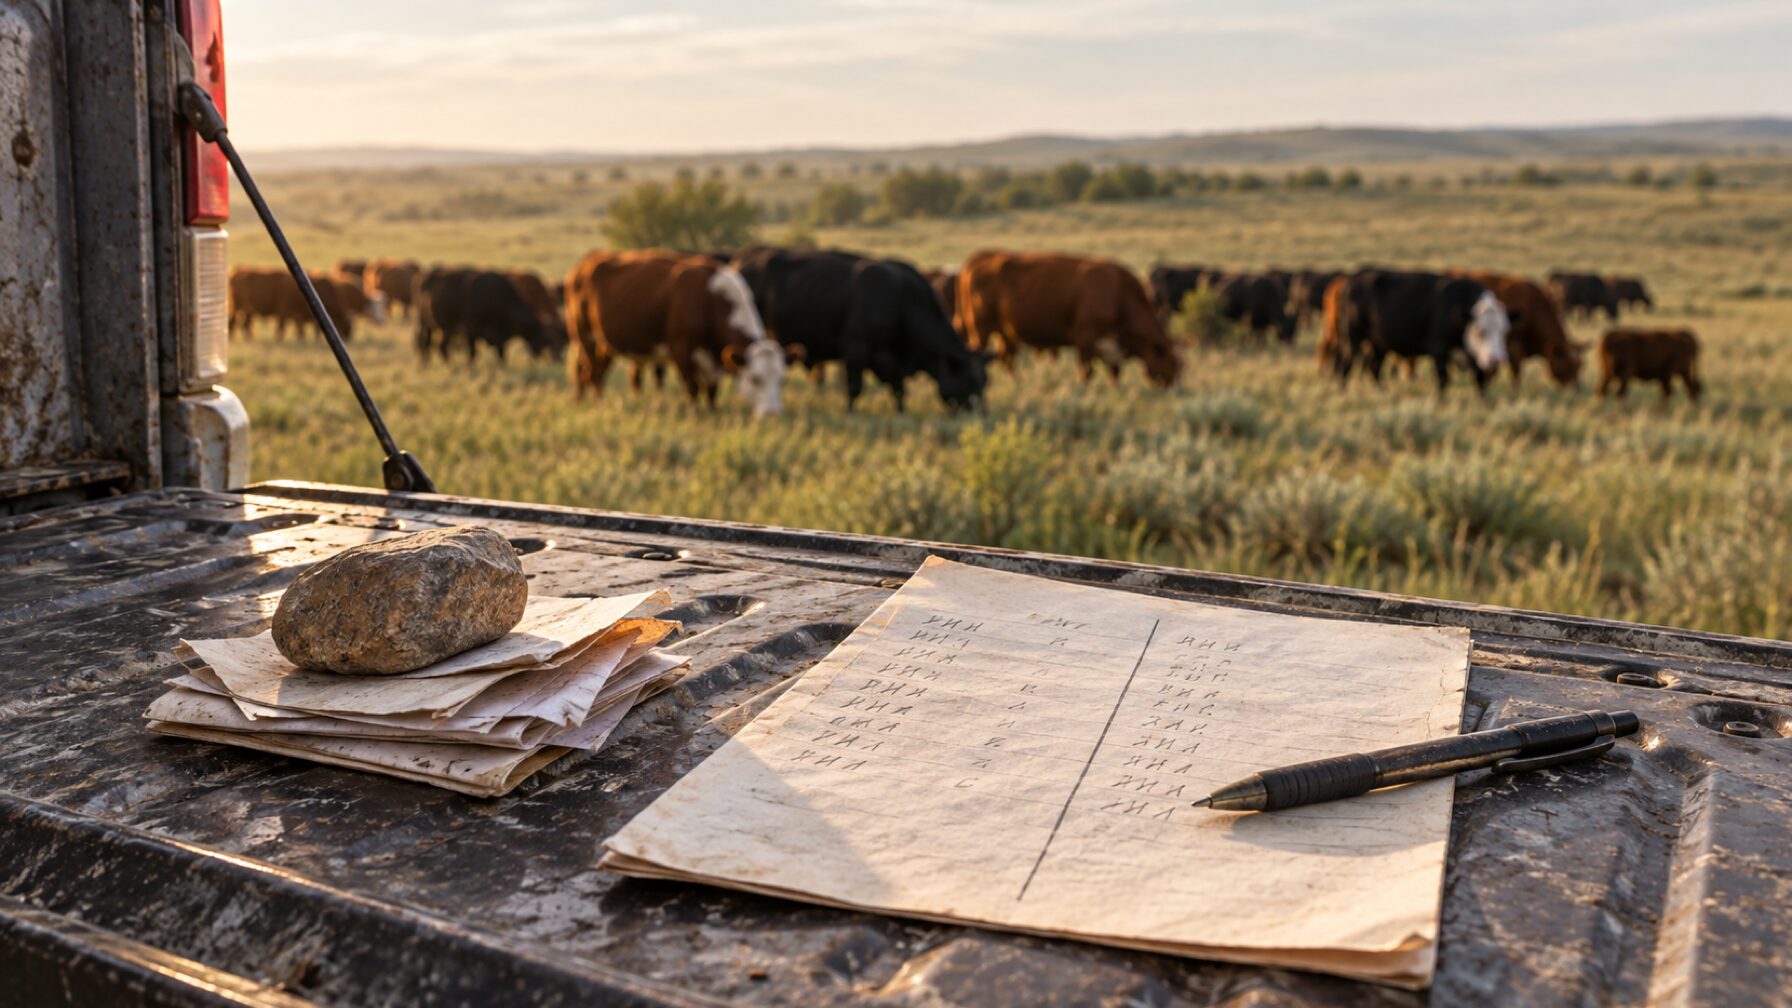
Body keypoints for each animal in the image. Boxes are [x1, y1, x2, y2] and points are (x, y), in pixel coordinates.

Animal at [413, 268, 555, 366]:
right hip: (426, 326)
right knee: (427, 344)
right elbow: (473, 353)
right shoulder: (471, 332)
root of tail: (423, 278)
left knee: (438, 346)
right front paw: (471, 368)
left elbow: (501, 354)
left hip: (443, 329)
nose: (540, 353)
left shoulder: (498, 337)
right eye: (539, 332)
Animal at [563, 250, 787, 417]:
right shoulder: (681, 350)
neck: (709, 301)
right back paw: (599, 405)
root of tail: (585, 264)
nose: (772, 413)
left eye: (780, 379)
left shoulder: (712, 360)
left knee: (594, 372)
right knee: (591, 373)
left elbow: (711, 390)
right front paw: (694, 414)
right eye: (756, 379)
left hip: (605, 344)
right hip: (585, 337)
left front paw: (713, 412)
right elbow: (692, 388)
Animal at [736, 247, 987, 412]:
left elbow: (899, 389)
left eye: (985, 382)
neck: (900, 299)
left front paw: (900, 412)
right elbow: (854, 388)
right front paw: (850, 412)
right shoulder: (856, 350)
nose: (981, 415)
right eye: (970, 382)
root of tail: (741, 263)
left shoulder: (892, 362)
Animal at [960, 251, 1180, 387]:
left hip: (1007, 334)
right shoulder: (1085, 340)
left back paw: (1017, 383)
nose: (1175, 388)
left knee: (1007, 359)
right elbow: (1087, 372)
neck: (1119, 293)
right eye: (1170, 361)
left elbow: (1114, 371)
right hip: (981, 330)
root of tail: (976, 263)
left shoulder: (1110, 348)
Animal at [1334, 270, 1510, 393]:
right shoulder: (1439, 350)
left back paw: (1380, 391)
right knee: (1346, 364)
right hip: (1353, 338)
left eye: (1504, 332)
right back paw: (1343, 390)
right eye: (1481, 331)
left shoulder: (1476, 358)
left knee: (1374, 366)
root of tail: (1352, 280)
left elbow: (1480, 380)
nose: (1496, 359)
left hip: (1379, 343)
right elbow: (1443, 379)